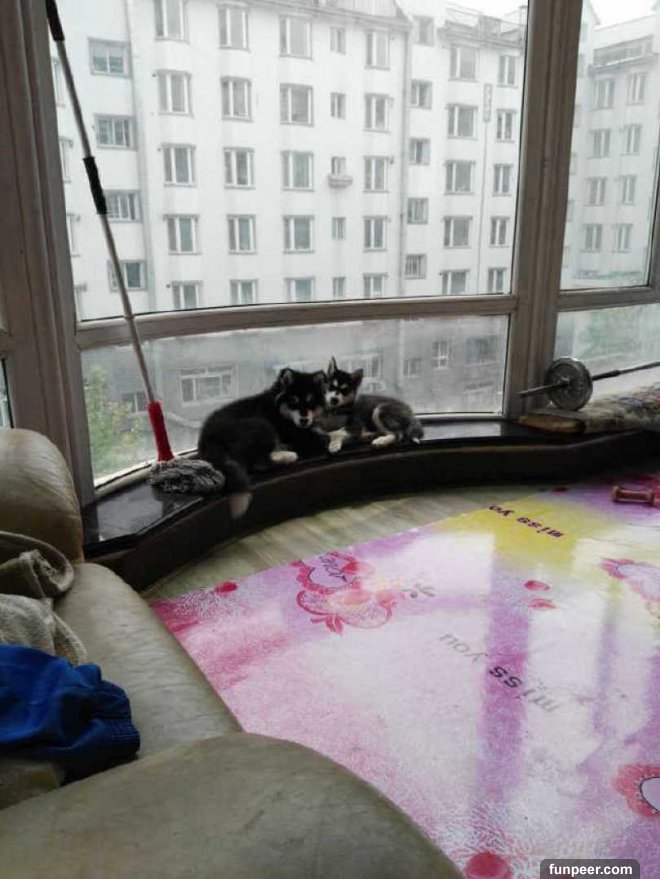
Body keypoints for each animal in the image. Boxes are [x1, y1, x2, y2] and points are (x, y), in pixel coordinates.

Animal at [198, 368, 328, 517]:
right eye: (293, 400)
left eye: (311, 401)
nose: (304, 420)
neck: (277, 408)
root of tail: (209, 437)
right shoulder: (294, 434)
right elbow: (321, 438)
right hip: (262, 425)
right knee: (259, 464)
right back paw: (288, 456)